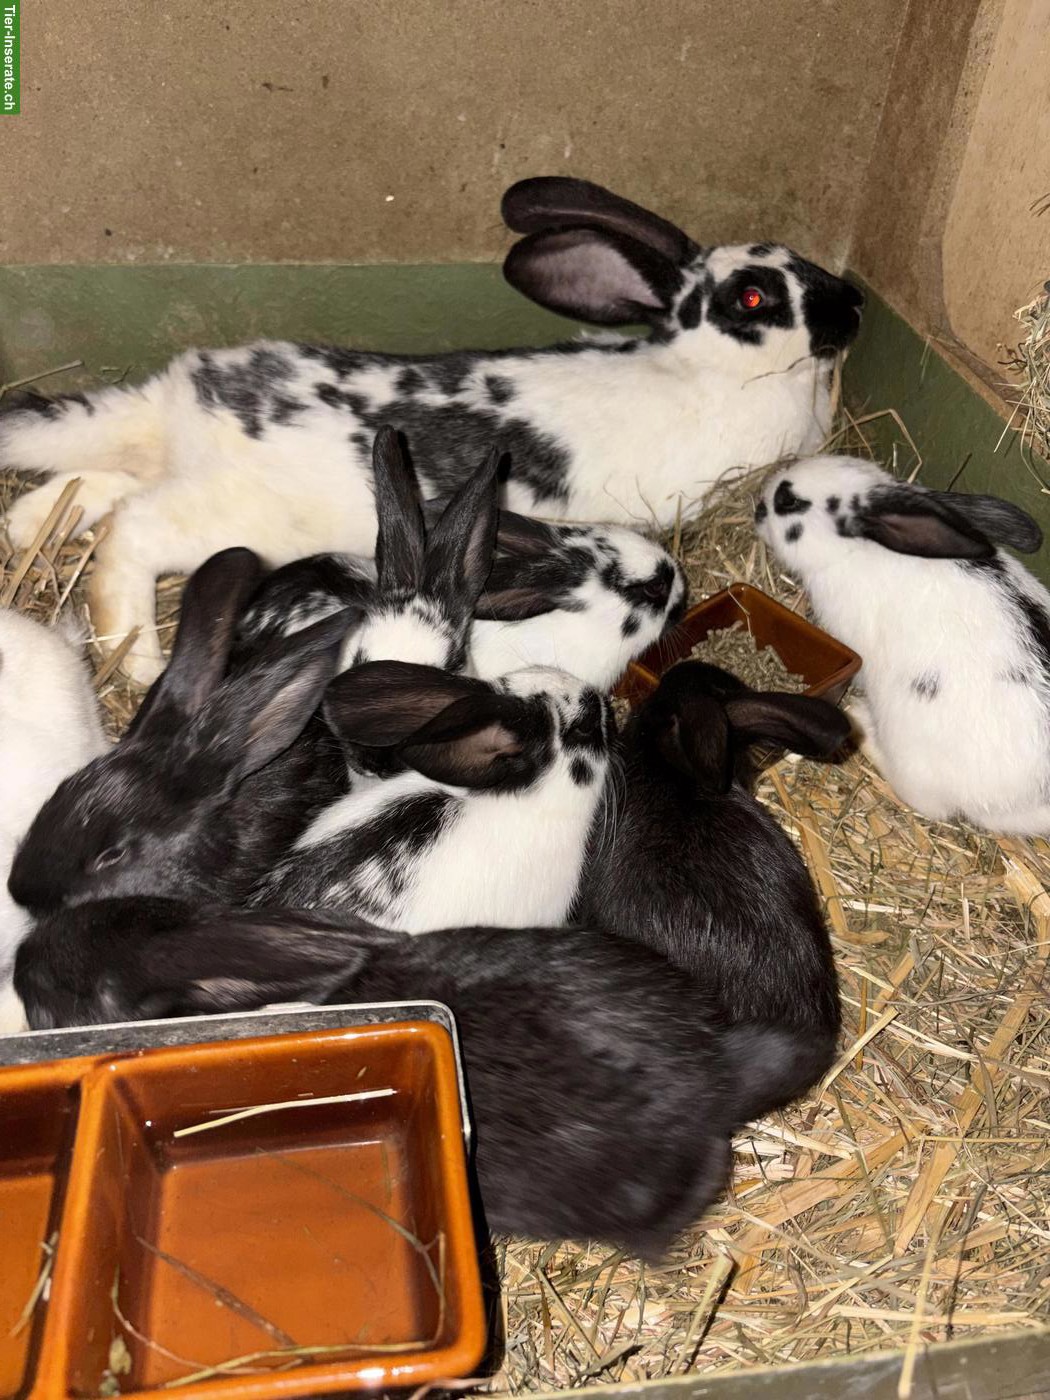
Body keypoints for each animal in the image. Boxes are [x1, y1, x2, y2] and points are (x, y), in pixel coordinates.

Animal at [755, 454, 1050, 834]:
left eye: (788, 502)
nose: (758, 506)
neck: (856, 549)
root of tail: (1025, 803)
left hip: (911, 758)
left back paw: (860, 720)